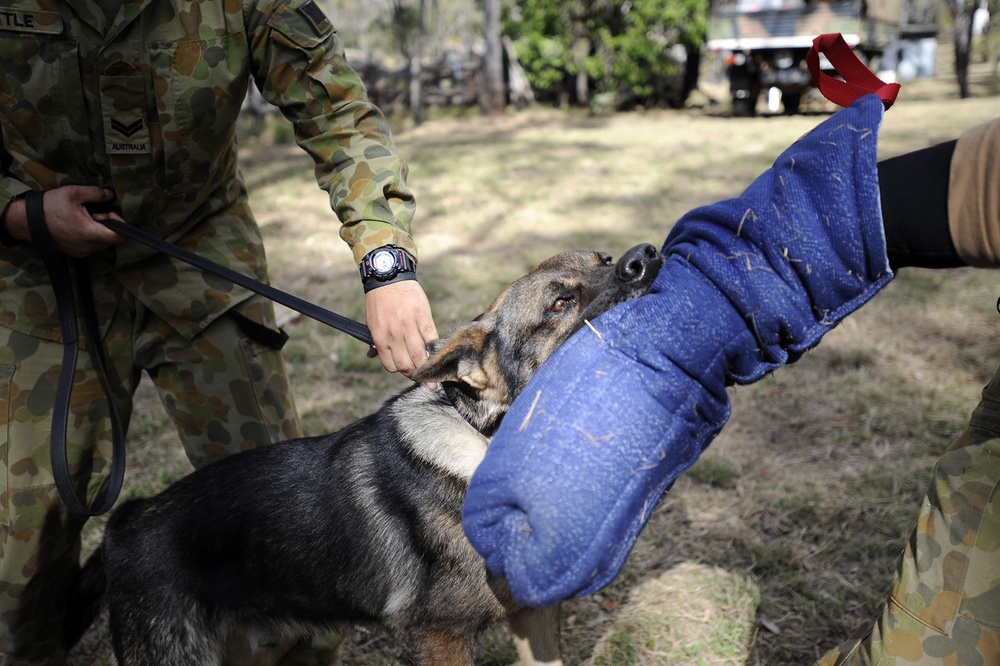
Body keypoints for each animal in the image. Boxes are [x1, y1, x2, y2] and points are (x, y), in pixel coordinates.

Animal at [66, 244, 668, 664]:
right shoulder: (438, 637)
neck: (488, 442)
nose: (646, 255)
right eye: (560, 304)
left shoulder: (535, 614)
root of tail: (125, 521)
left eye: (605, 260)